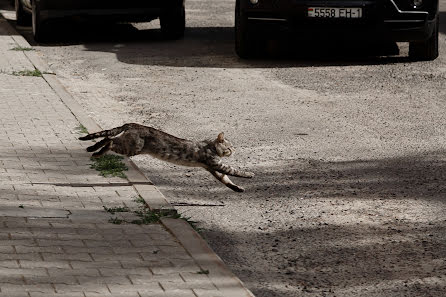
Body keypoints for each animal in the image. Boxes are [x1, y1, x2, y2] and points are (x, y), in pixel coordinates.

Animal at [79, 122, 254, 192]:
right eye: (229, 147)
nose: (234, 151)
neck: (209, 145)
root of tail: (133, 124)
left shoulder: (212, 168)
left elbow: (226, 180)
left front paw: (237, 188)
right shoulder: (215, 164)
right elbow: (234, 171)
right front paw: (250, 174)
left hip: (128, 144)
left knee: (108, 137)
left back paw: (92, 148)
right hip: (131, 147)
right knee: (110, 141)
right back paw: (97, 152)